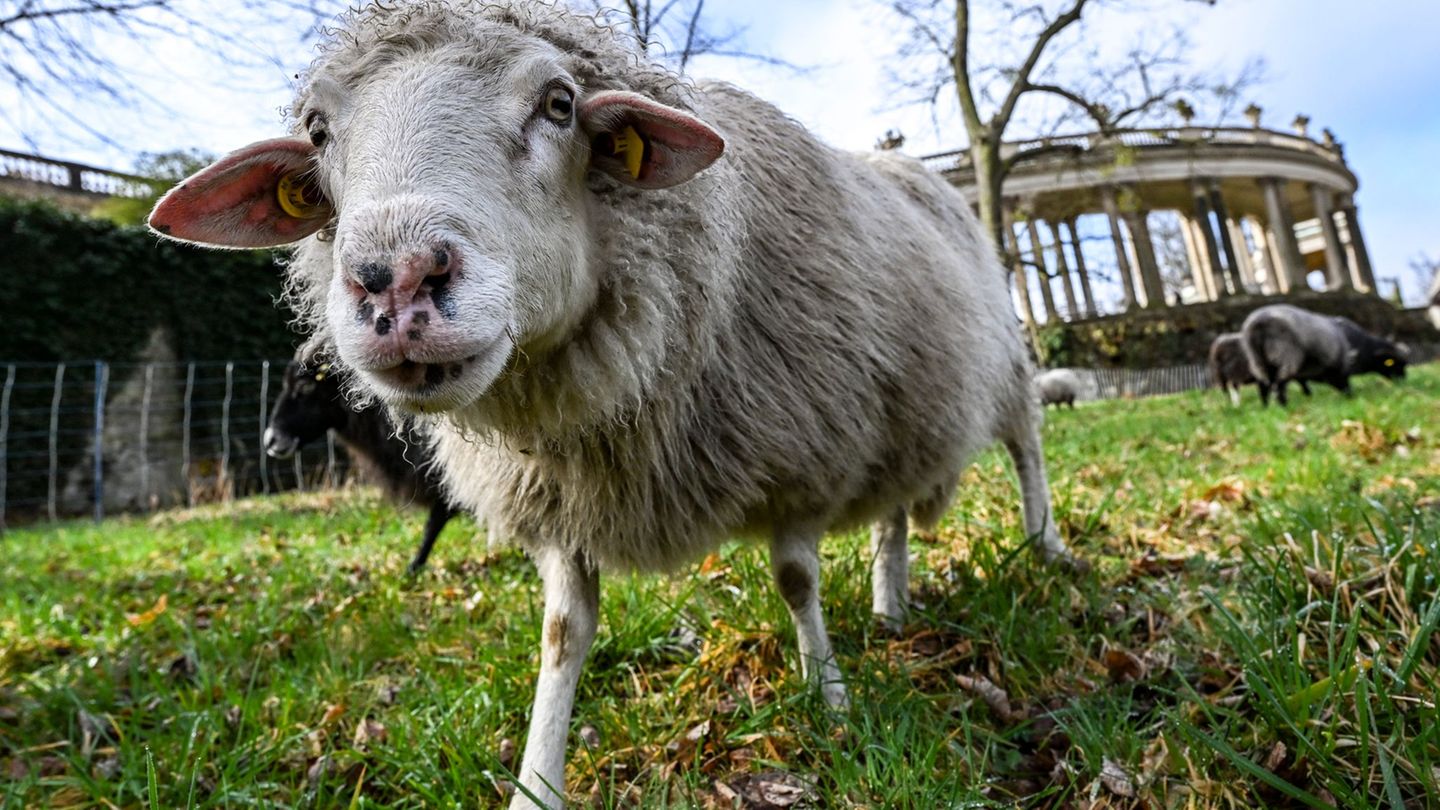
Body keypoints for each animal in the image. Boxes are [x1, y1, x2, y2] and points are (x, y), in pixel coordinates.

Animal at [1241, 304, 1407, 406]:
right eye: (1394, 363)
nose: (1404, 380)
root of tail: (1259, 322)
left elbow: (1305, 382)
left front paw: (1309, 394)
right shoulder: (1340, 366)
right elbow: (1343, 383)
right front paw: (1350, 398)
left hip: (1258, 361)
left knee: (1263, 385)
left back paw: (1266, 406)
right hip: (1286, 356)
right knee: (1279, 383)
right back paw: (1283, 405)